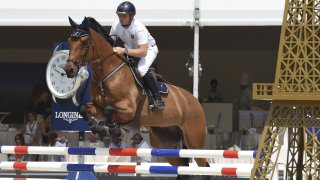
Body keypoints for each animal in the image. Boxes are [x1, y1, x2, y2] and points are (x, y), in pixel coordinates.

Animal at [64, 16, 209, 179]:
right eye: (69, 41)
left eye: (84, 42)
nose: (69, 70)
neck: (106, 72)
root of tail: (195, 101)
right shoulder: (98, 107)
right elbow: (84, 108)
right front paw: (98, 127)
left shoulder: (129, 109)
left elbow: (109, 110)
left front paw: (113, 129)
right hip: (164, 142)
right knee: (183, 166)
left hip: (194, 141)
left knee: (204, 166)